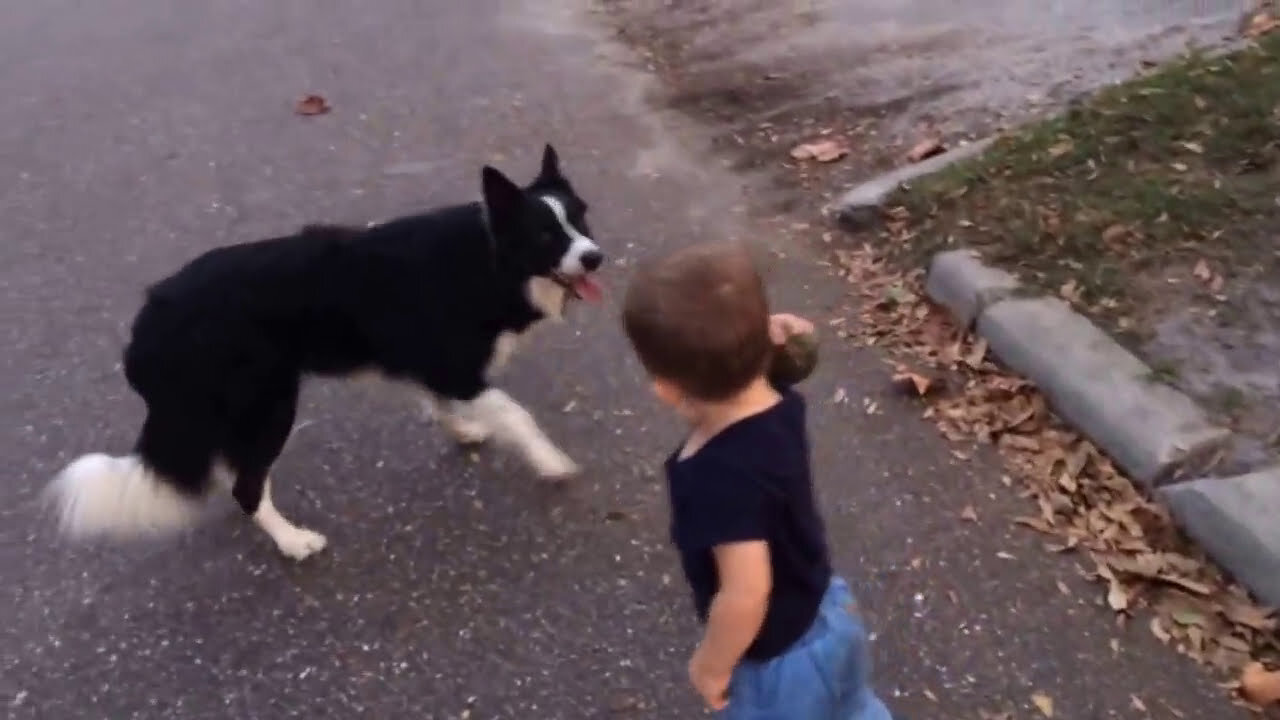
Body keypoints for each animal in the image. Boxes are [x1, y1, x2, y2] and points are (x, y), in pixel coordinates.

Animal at [48, 144, 604, 561]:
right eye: (544, 234)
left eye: (581, 219)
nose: (596, 257)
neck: (490, 258)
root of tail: (148, 321)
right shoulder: (455, 365)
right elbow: (515, 413)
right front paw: (551, 462)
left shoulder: (431, 362)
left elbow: (442, 402)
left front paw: (464, 429)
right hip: (270, 403)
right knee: (247, 486)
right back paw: (294, 542)